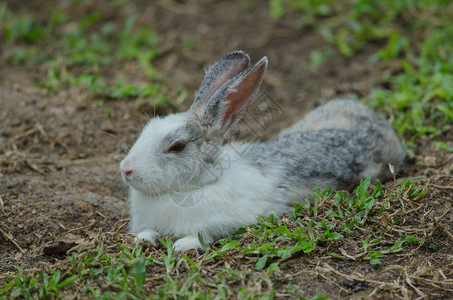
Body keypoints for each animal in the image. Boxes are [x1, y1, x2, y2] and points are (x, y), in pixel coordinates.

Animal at [119, 50, 402, 252]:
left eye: (177, 146)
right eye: (146, 129)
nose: (126, 170)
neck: (200, 184)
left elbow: (204, 235)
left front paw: (183, 245)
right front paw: (144, 239)